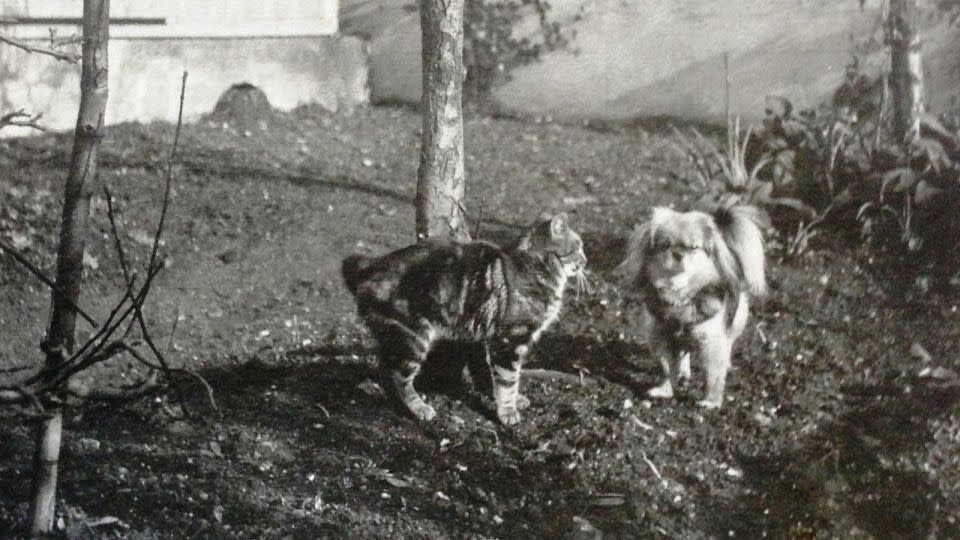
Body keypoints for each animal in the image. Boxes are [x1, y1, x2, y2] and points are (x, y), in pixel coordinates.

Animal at [342, 213, 588, 424]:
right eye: (577, 247)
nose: (586, 261)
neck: (534, 268)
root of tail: (372, 267)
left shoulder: (490, 339)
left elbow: (491, 376)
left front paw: (511, 400)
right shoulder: (510, 341)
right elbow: (508, 380)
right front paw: (508, 411)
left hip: (397, 337)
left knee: (384, 369)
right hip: (413, 338)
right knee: (399, 377)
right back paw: (418, 407)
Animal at [616, 205, 764, 408]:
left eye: (693, 247)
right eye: (665, 245)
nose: (679, 254)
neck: (678, 295)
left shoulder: (712, 343)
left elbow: (713, 376)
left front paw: (711, 402)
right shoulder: (661, 338)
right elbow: (667, 368)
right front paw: (666, 390)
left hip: (733, 324)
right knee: (684, 354)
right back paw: (684, 372)